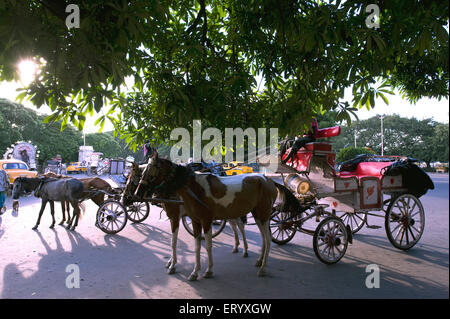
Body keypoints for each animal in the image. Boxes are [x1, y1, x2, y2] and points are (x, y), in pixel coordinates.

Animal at [134, 151, 286, 282]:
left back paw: (262, 267)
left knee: (266, 238)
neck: (195, 189)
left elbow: (206, 245)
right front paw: (194, 272)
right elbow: (196, 246)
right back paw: (258, 260)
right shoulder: (195, 221)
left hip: (263, 214)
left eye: (151, 170)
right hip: (257, 215)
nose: (137, 192)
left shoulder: (201, 220)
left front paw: (207, 270)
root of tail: (267, 180)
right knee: (261, 236)